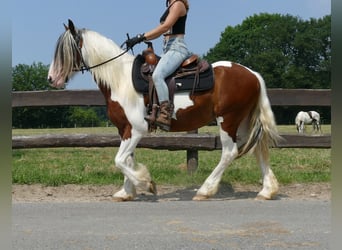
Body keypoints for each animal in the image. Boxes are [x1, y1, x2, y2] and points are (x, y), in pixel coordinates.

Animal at [48, 19, 284, 200]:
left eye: (65, 50)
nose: (51, 79)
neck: (121, 80)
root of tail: (253, 74)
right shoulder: (125, 130)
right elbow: (127, 159)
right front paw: (126, 192)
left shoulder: (135, 129)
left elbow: (120, 160)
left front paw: (145, 182)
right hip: (243, 121)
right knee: (257, 149)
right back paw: (267, 191)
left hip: (228, 120)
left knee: (229, 152)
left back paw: (205, 190)